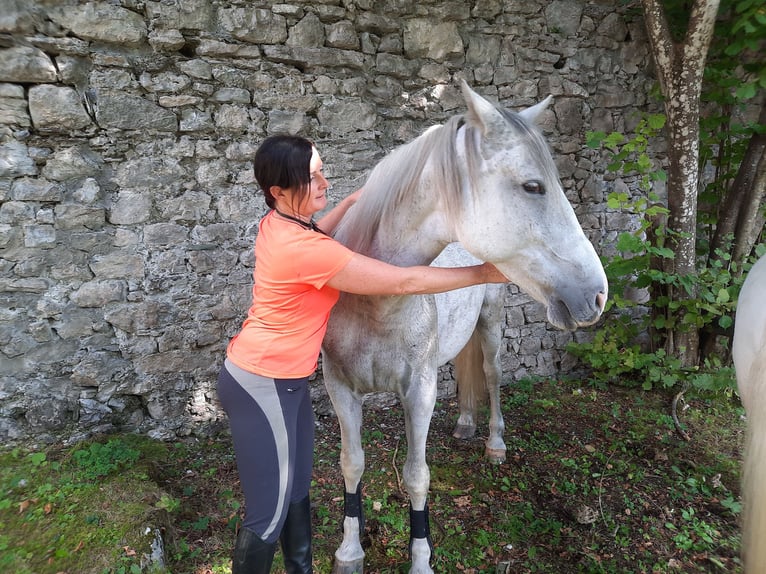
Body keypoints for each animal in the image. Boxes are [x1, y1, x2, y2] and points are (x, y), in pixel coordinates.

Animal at [320, 82, 608, 574]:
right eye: (534, 186)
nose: (598, 295)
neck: (374, 300)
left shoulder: (419, 391)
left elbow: (417, 477)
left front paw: (420, 560)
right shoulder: (340, 388)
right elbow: (351, 464)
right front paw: (349, 552)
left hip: (490, 327)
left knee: (490, 376)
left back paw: (493, 444)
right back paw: (464, 425)